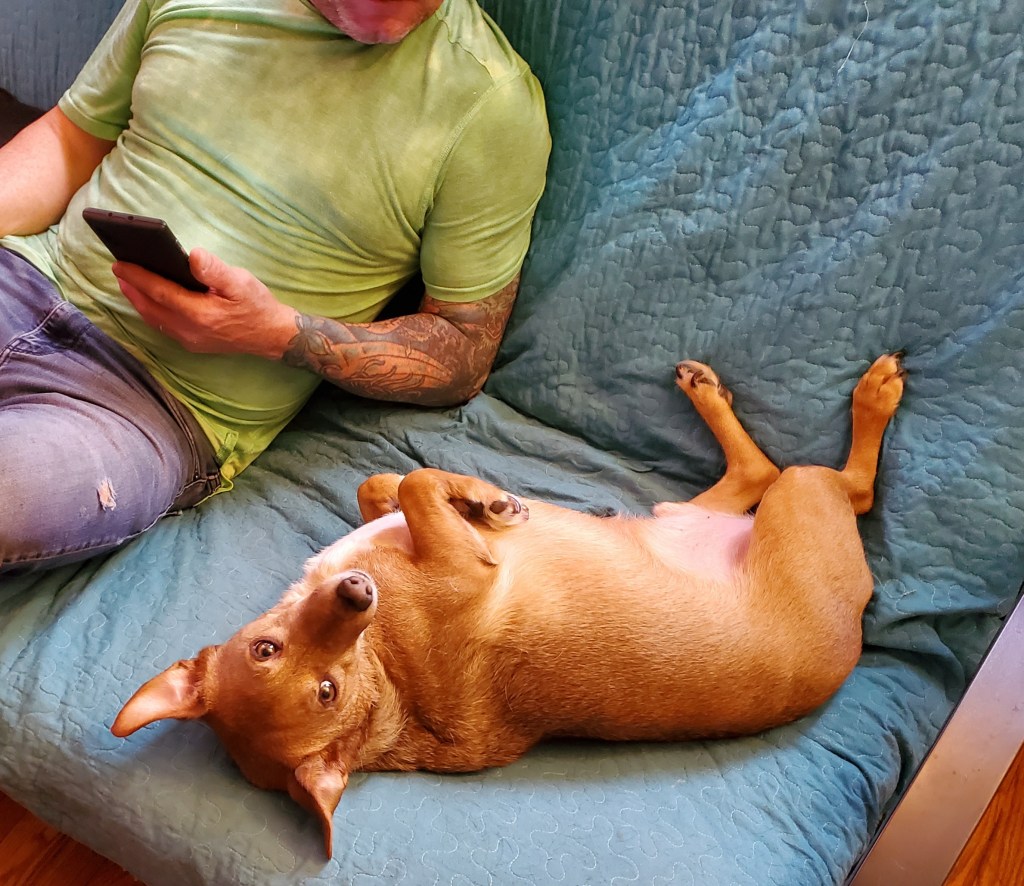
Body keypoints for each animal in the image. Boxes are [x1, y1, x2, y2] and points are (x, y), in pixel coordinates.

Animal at [112, 355, 905, 858]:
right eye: (325, 692)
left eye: (265, 648)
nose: (356, 593)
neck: (386, 672)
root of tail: (851, 643)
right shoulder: (458, 565)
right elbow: (417, 486)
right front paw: (482, 499)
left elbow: (387, 485)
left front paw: (476, 497)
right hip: (804, 497)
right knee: (833, 484)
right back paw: (874, 394)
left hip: (692, 510)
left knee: (757, 470)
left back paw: (706, 390)